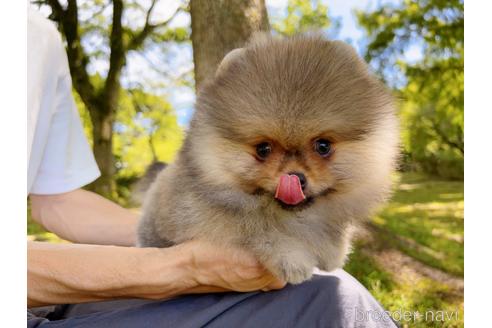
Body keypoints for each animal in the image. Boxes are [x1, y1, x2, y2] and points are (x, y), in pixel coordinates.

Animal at [136, 34, 398, 284]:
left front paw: (334, 250)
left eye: (323, 146)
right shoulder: (203, 215)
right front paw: (292, 258)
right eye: (263, 149)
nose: (295, 178)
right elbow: (258, 228)